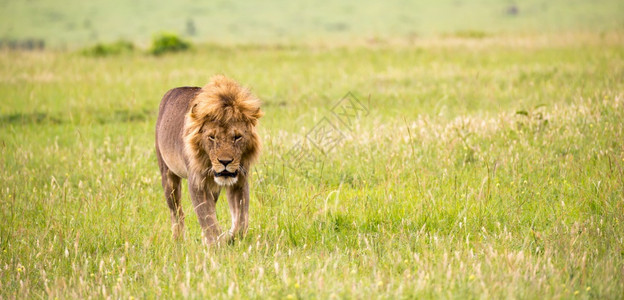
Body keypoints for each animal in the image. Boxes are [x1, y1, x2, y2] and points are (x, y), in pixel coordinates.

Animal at [157, 74, 264, 244]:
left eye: (237, 137)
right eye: (212, 137)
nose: (225, 162)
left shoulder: (239, 181)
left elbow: (241, 220)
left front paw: (230, 237)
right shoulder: (197, 183)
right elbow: (207, 219)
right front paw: (217, 243)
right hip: (168, 175)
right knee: (176, 211)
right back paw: (178, 240)